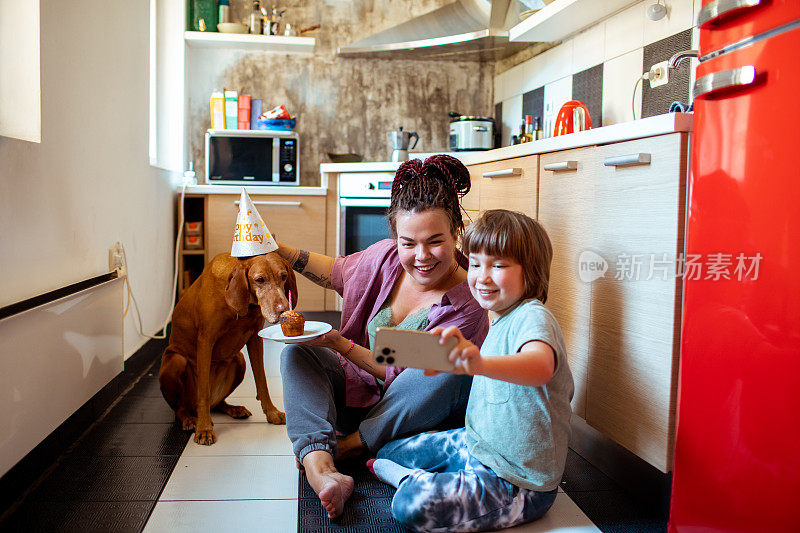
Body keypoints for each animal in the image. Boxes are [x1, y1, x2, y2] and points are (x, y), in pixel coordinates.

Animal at [156, 251, 294, 442]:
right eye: (260, 279)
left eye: (283, 276)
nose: (283, 309)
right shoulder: (206, 340)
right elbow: (203, 392)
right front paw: (204, 428)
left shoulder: (255, 338)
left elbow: (262, 381)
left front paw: (272, 412)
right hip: (175, 360)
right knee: (181, 408)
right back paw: (190, 419)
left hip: (239, 360)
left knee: (218, 404)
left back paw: (233, 409)